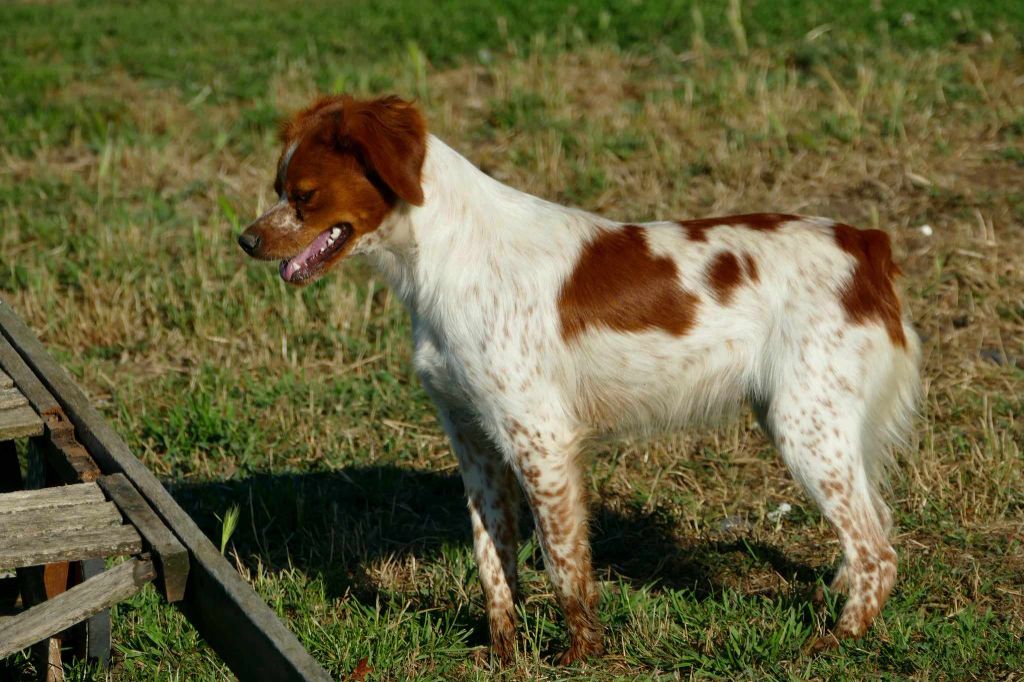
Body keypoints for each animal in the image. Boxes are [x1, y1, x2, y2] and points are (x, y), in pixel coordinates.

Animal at [237, 93, 921, 659]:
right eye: (278, 187)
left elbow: (564, 561)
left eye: (304, 195)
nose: (246, 240)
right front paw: (504, 654)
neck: (447, 256)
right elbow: (494, 559)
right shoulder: (475, 441)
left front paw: (578, 655)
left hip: (805, 428)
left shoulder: (540, 439)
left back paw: (833, 643)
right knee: (875, 532)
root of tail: (865, 243)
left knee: (878, 551)